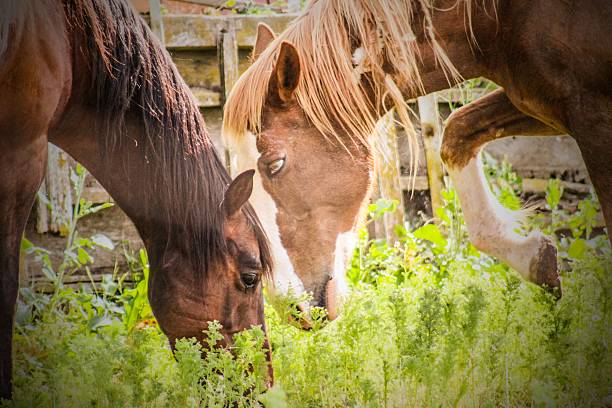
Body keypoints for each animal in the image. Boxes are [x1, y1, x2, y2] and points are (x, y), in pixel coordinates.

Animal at [222, 0, 608, 318]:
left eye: (276, 164)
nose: (291, 308)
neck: (497, 17)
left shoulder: (592, 119)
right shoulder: (537, 104)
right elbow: (457, 130)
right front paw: (535, 258)